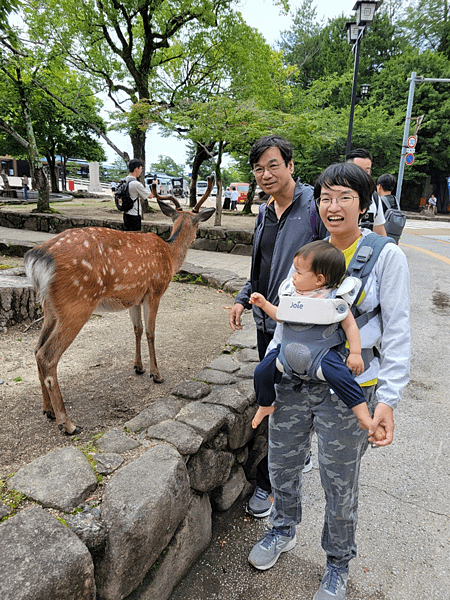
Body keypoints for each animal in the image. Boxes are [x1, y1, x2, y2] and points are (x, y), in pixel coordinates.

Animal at [24, 176, 216, 434]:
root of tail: (37, 258)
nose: (197, 238)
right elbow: (151, 332)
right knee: (47, 355)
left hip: (50, 308)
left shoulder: (134, 297)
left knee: (36, 349)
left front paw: (138, 367)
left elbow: (136, 330)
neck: (170, 255)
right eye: (198, 226)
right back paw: (67, 422)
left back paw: (48, 411)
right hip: (76, 305)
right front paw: (156, 374)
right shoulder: (155, 291)